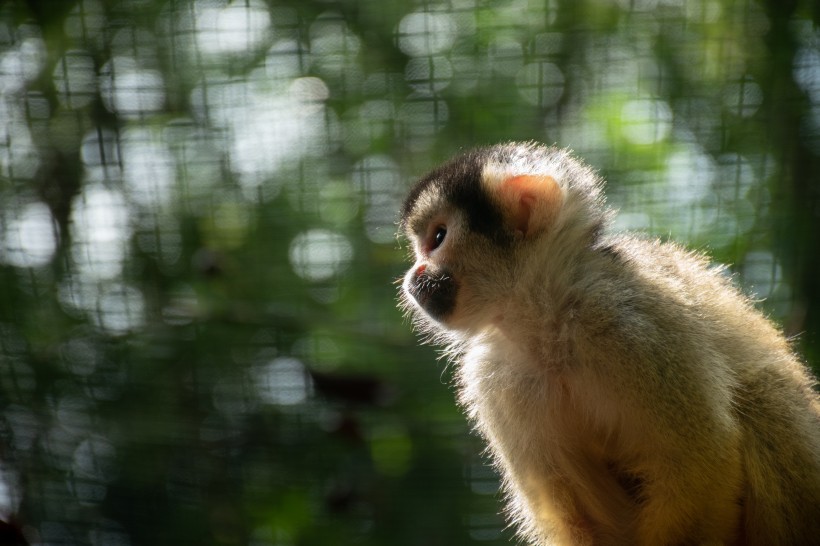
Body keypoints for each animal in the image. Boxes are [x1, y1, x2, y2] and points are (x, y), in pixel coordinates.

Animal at [398, 141, 820, 544]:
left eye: (437, 238)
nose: (413, 275)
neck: (549, 323)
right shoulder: (494, 380)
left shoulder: (632, 326)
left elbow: (699, 460)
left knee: (763, 394)